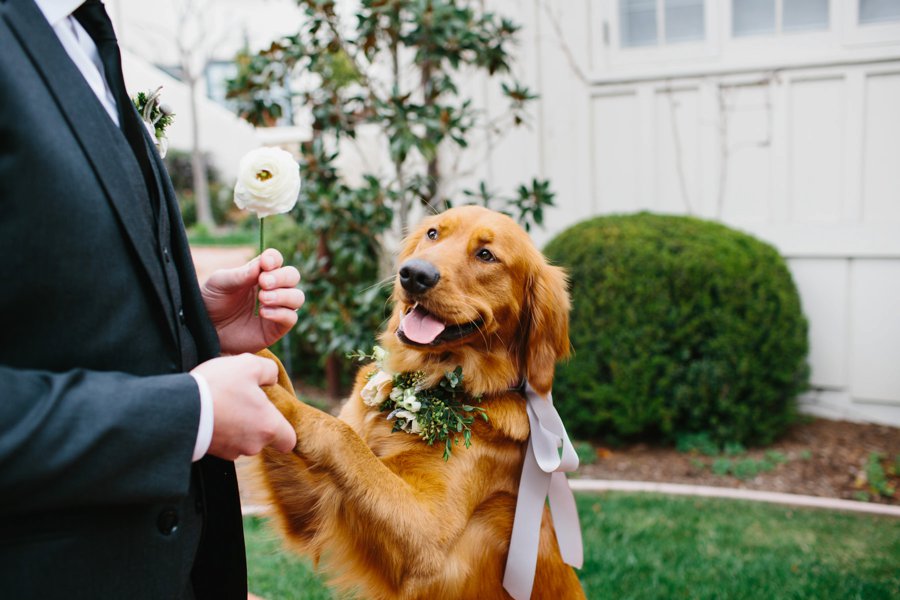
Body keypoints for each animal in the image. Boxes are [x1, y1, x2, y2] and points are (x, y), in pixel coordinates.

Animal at [260, 204, 584, 596]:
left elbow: (341, 435)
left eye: (486, 255)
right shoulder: (311, 504)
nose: (414, 274)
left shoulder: (428, 534)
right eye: (433, 234)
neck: (428, 384)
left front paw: (267, 395)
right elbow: (284, 376)